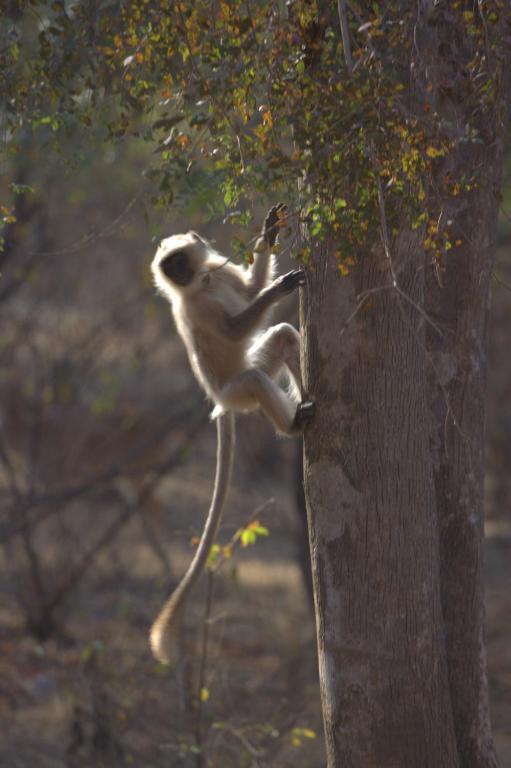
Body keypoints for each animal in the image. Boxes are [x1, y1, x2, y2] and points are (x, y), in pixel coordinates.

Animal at [150, 204, 314, 660]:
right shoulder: (198, 308)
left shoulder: (217, 276)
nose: (179, 272)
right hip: (239, 391)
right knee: (257, 380)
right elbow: (235, 329)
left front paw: (270, 231)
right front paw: (278, 290)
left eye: (180, 261)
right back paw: (293, 424)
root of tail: (218, 400)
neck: (200, 285)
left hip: (251, 369)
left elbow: (250, 287)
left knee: (283, 338)